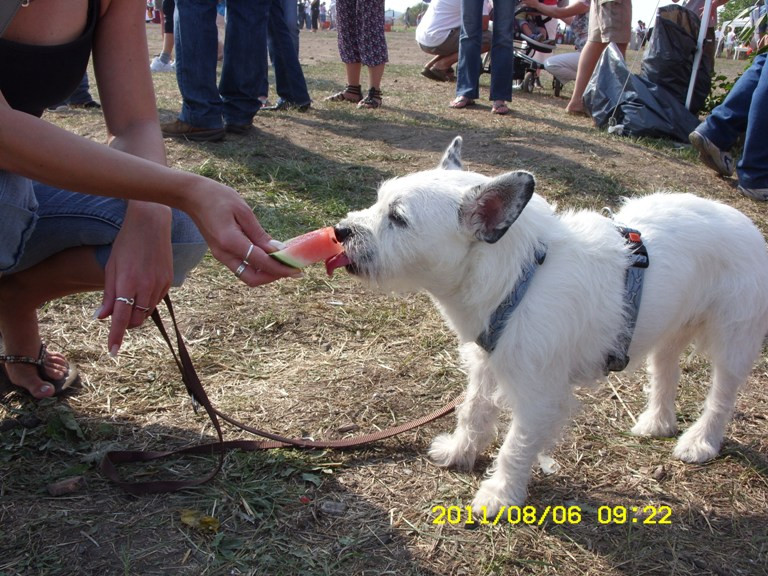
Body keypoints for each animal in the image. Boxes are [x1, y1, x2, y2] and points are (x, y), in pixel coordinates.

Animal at [328, 136, 768, 512]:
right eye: (379, 202)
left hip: (732, 342)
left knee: (722, 396)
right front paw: (459, 451)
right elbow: (473, 411)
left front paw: (500, 494)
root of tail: (747, 224)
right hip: (668, 335)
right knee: (666, 375)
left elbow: (515, 446)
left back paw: (701, 441)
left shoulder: (539, 396)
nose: (340, 231)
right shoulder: (485, 365)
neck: (521, 277)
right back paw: (657, 423)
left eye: (398, 218)